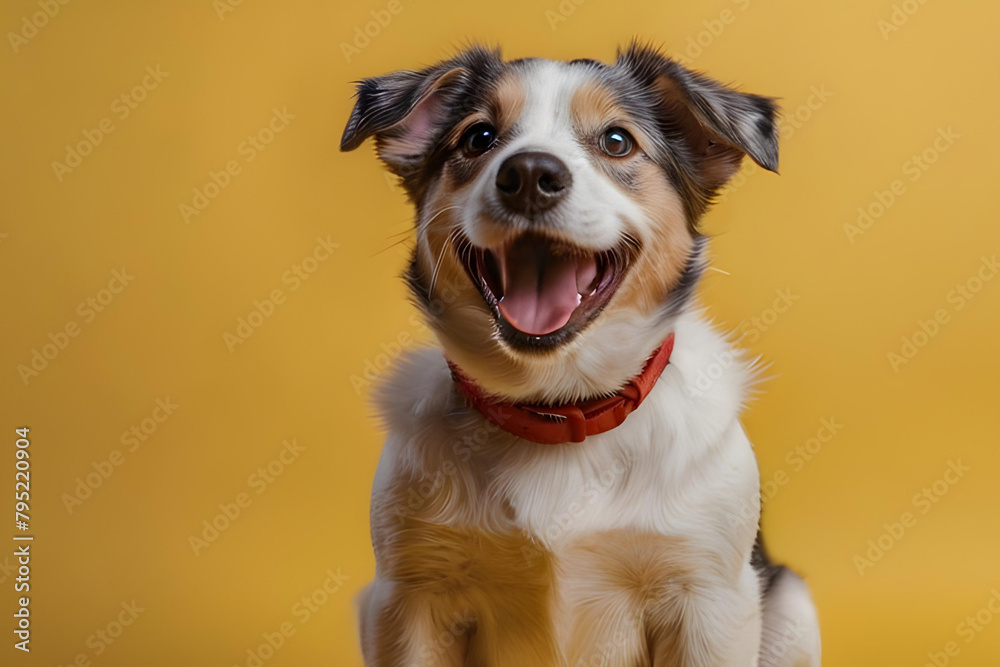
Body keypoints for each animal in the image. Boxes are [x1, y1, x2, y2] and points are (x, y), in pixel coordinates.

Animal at [342, 43, 820, 667]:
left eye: (617, 141)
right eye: (478, 137)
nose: (529, 175)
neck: (557, 407)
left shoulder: (709, 600)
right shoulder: (411, 597)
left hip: (792, 607)